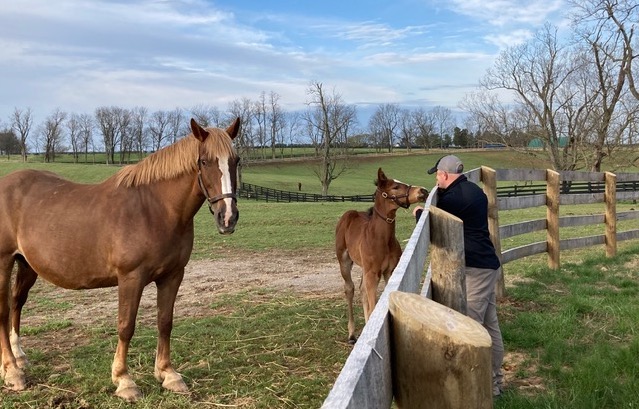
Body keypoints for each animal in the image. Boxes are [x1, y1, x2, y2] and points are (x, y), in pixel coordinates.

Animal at [0, 117, 240, 398]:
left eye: (235, 160)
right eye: (204, 161)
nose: (228, 218)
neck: (154, 209)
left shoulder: (173, 275)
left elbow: (165, 322)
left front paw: (168, 374)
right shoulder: (130, 278)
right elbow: (126, 326)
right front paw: (124, 380)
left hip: (27, 265)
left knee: (17, 302)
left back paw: (19, 358)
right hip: (3, 263)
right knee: (4, 311)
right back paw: (12, 372)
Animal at [336, 167, 424, 342]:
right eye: (395, 187)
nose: (422, 191)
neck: (381, 238)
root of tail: (349, 215)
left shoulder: (389, 271)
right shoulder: (372, 273)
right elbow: (372, 304)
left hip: (364, 267)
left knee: (362, 290)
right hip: (344, 260)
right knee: (350, 288)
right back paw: (351, 334)